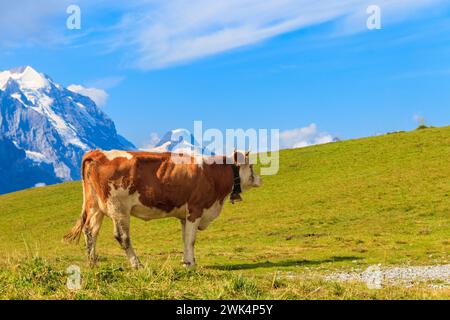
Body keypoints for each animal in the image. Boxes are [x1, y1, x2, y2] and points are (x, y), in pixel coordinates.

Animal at [63, 149, 260, 268]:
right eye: (251, 166)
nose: (259, 178)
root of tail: (98, 152)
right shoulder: (195, 209)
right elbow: (191, 240)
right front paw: (191, 265)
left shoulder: (184, 215)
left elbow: (185, 239)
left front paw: (187, 261)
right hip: (118, 208)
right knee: (122, 237)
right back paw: (137, 265)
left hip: (95, 206)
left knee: (91, 232)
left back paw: (93, 264)